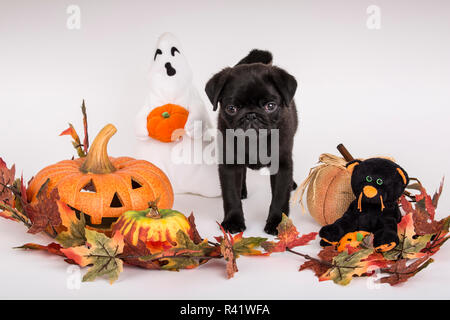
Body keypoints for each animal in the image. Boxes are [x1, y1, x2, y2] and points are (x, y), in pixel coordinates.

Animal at [205, 50, 298, 235]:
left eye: (270, 106)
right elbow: (231, 196)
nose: (251, 115)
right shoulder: (229, 165)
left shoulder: (282, 165)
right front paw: (233, 221)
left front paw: (277, 223)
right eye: (231, 109)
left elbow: (280, 196)